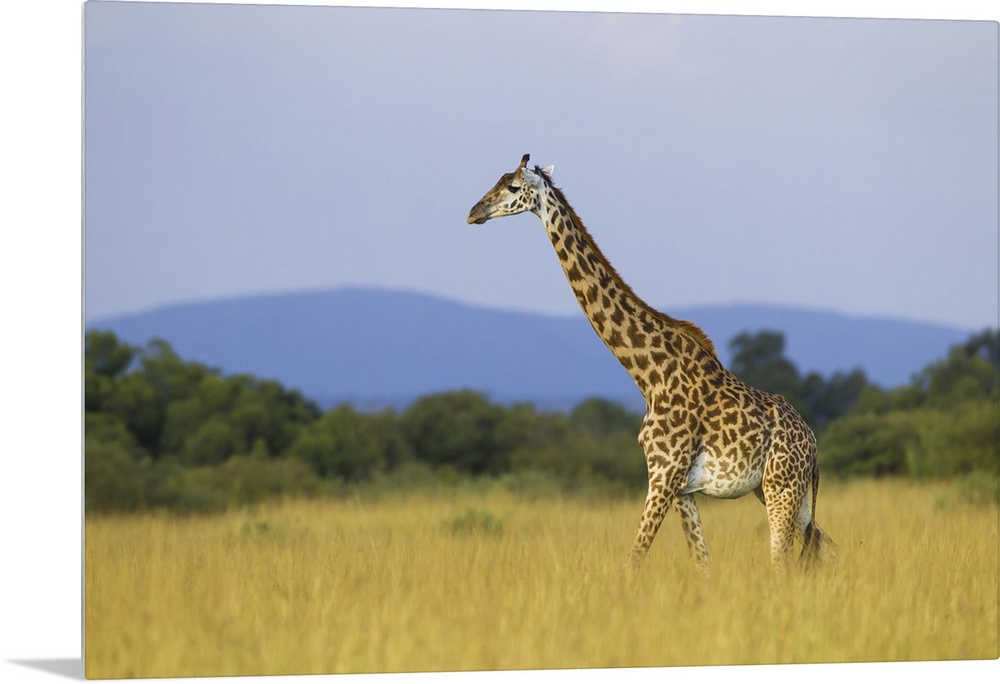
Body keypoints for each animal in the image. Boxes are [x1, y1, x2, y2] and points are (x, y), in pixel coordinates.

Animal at [467, 154, 837, 575]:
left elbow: (633, 561)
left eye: (513, 187)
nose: (474, 212)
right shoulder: (681, 488)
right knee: (824, 546)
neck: (647, 373)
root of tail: (812, 442)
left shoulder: (663, 477)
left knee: (784, 565)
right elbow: (702, 566)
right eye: (496, 181)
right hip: (784, 492)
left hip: (781, 488)